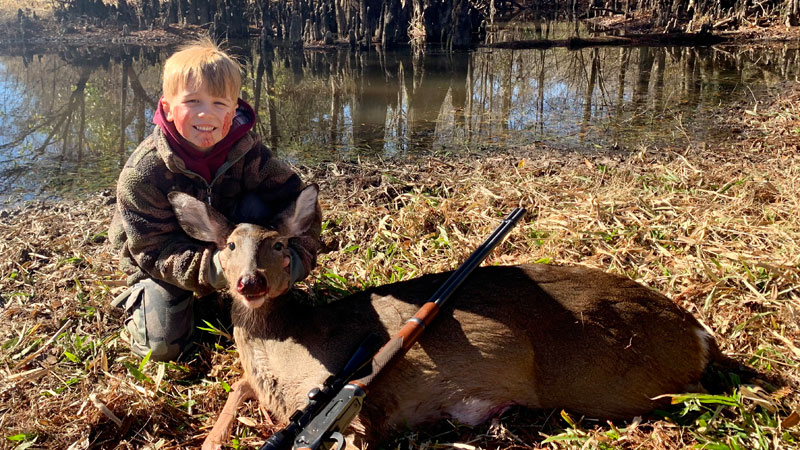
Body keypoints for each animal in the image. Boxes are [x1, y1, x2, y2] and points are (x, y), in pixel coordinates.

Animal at [167, 184, 721, 450]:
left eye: (279, 245)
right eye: (228, 245)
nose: (250, 282)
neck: (286, 345)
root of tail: (697, 334)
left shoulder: (365, 416)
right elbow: (238, 385)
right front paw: (213, 440)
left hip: (605, 382)